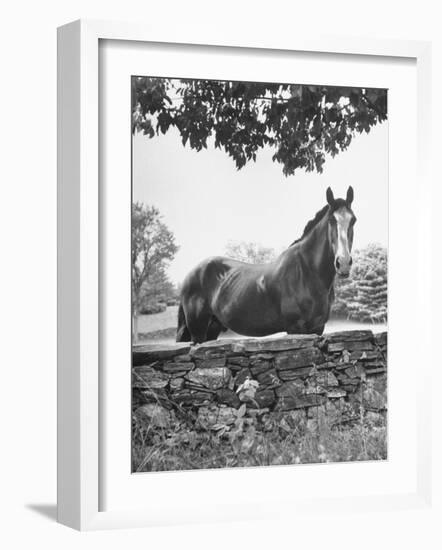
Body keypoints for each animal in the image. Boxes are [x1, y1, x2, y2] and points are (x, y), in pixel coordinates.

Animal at [176, 190, 356, 344]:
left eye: (353, 220)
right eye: (331, 220)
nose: (343, 263)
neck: (307, 272)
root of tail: (191, 274)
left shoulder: (318, 328)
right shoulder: (296, 329)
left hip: (213, 328)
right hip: (198, 330)